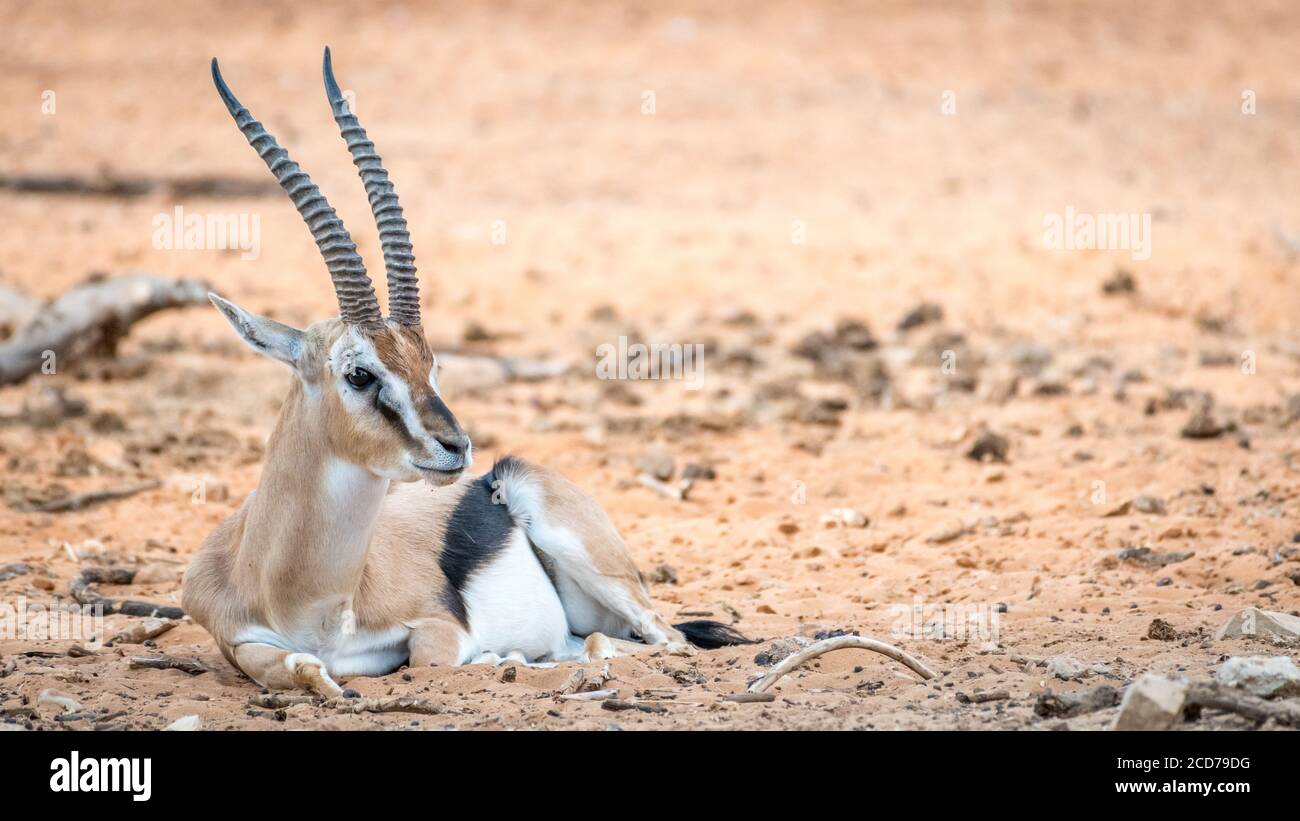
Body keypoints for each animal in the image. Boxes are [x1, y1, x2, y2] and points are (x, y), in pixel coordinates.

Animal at [181, 49, 750, 698]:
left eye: (431, 363)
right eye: (359, 374)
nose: (455, 447)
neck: (301, 592)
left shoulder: (437, 625)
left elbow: (428, 657)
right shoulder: (239, 641)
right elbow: (295, 667)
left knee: (654, 640)